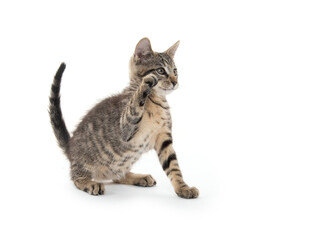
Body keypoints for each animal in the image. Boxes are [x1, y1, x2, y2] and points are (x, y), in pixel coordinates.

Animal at [49, 38, 198, 199]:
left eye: (175, 71)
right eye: (161, 70)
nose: (175, 81)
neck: (157, 101)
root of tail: (70, 148)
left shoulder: (164, 138)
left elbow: (173, 165)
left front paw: (183, 188)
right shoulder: (124, 129)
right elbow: (134, 104)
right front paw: (145, 84)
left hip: (119, 165)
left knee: (118, 176)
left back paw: (139, 177)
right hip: (85, 163)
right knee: (76, 178)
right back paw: (90, 183)